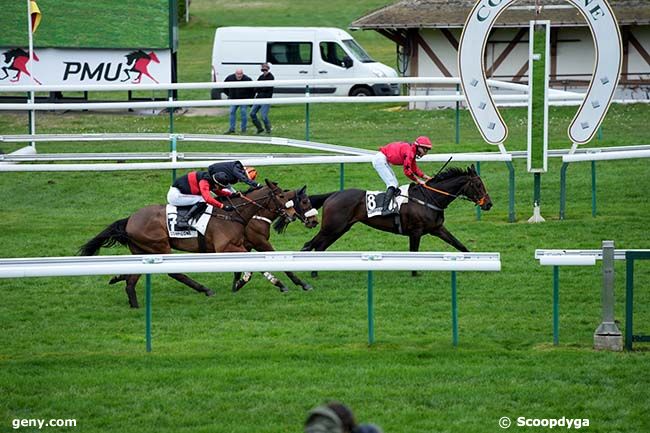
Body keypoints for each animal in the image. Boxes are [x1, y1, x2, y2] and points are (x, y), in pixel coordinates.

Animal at [76, 179, 296, 308]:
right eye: (282, 196)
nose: (293, 215)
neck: (233, 214)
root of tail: (130, 219)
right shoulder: (225, 247)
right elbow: (252, 264)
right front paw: (247, 280)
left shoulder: (238, 246)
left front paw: (277, 284)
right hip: (160, 247)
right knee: (175, 272)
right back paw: (205, 289)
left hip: (142, 250)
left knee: (132, 280)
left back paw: (133, 302)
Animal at [302, 165, 488, 274]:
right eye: (478, 185)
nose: (489, 204)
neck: (429, 198)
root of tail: (333, 195)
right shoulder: (416, 232)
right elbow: (414, 253)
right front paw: (414, 273)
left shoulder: (437, 229)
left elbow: (459, 244)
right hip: (331, 227)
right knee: (309, 245)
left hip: (340, 229)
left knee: (319, 248)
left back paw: (315, 272)